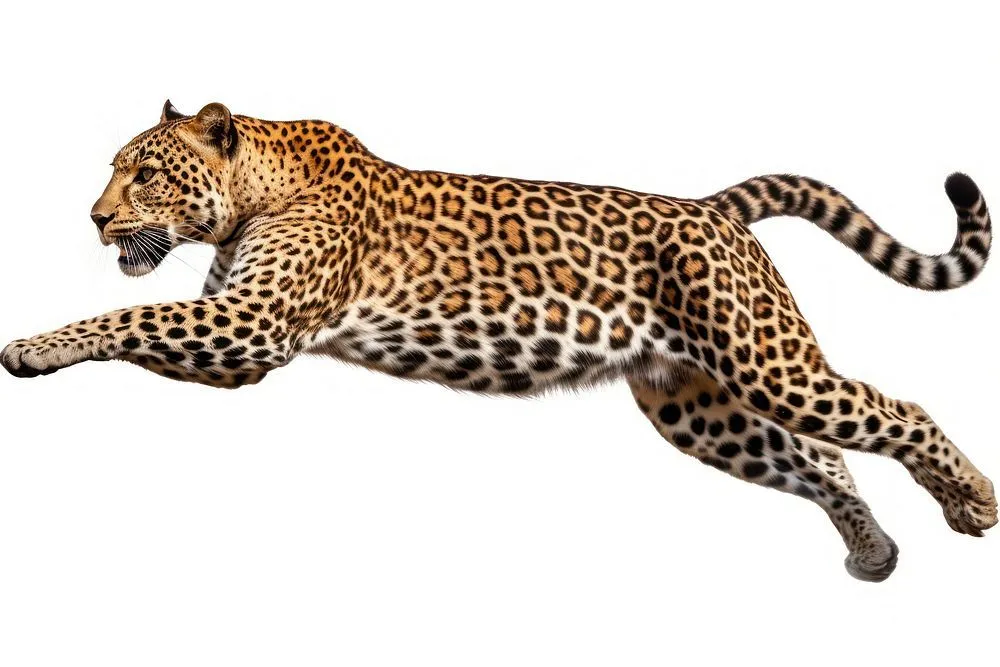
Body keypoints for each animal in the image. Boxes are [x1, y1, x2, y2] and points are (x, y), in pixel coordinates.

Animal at [2, 100, 995, 581]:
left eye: (145, 173)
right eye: (116, 172)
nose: (95, 219)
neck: (255, 189)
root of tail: (714, 208)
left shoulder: (251, 326)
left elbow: (127, 318)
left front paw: (30, 346)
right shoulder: (233, 335)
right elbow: (139, 321)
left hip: (764, 358)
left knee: (895, 408)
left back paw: (973, 501)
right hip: (701, 404)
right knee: (821, 457)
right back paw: (874, 552)